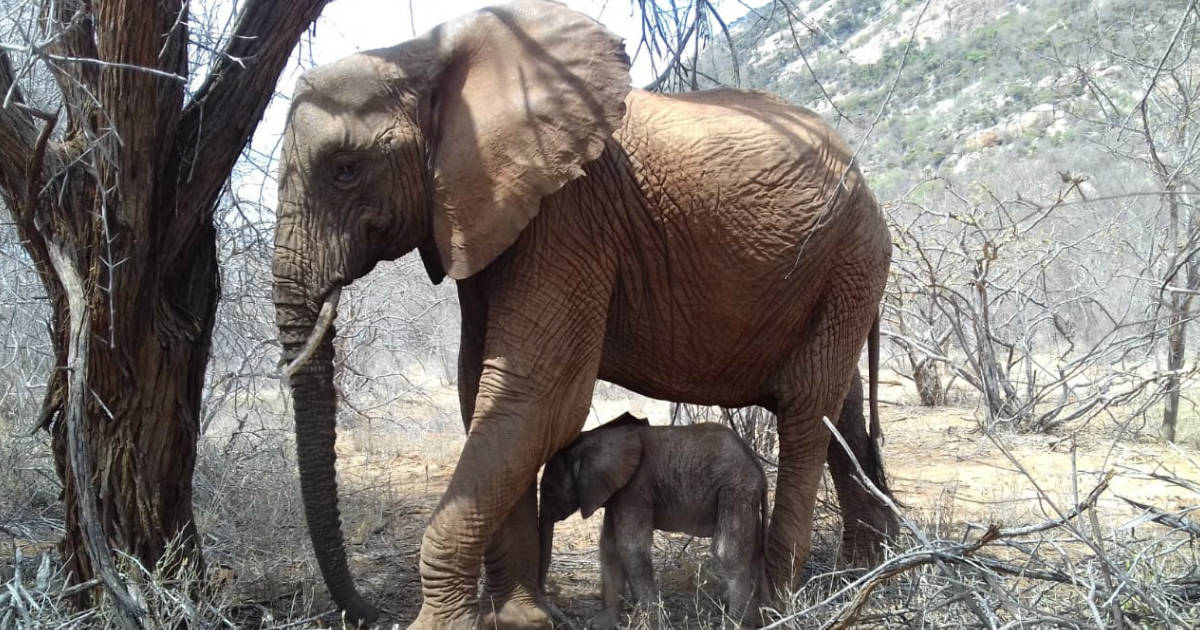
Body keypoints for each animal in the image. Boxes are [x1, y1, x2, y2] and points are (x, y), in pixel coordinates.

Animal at [537, 410, 763, 624]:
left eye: (549, 489)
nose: (546, 597)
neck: (593, 438)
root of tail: (754, 459)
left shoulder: (634, 487)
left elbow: (631, 547)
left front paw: (652, 622)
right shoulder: (617, 492)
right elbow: (610, 547)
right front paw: (601, 624)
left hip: (736, 489)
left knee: (728, 552)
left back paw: (736, 623)